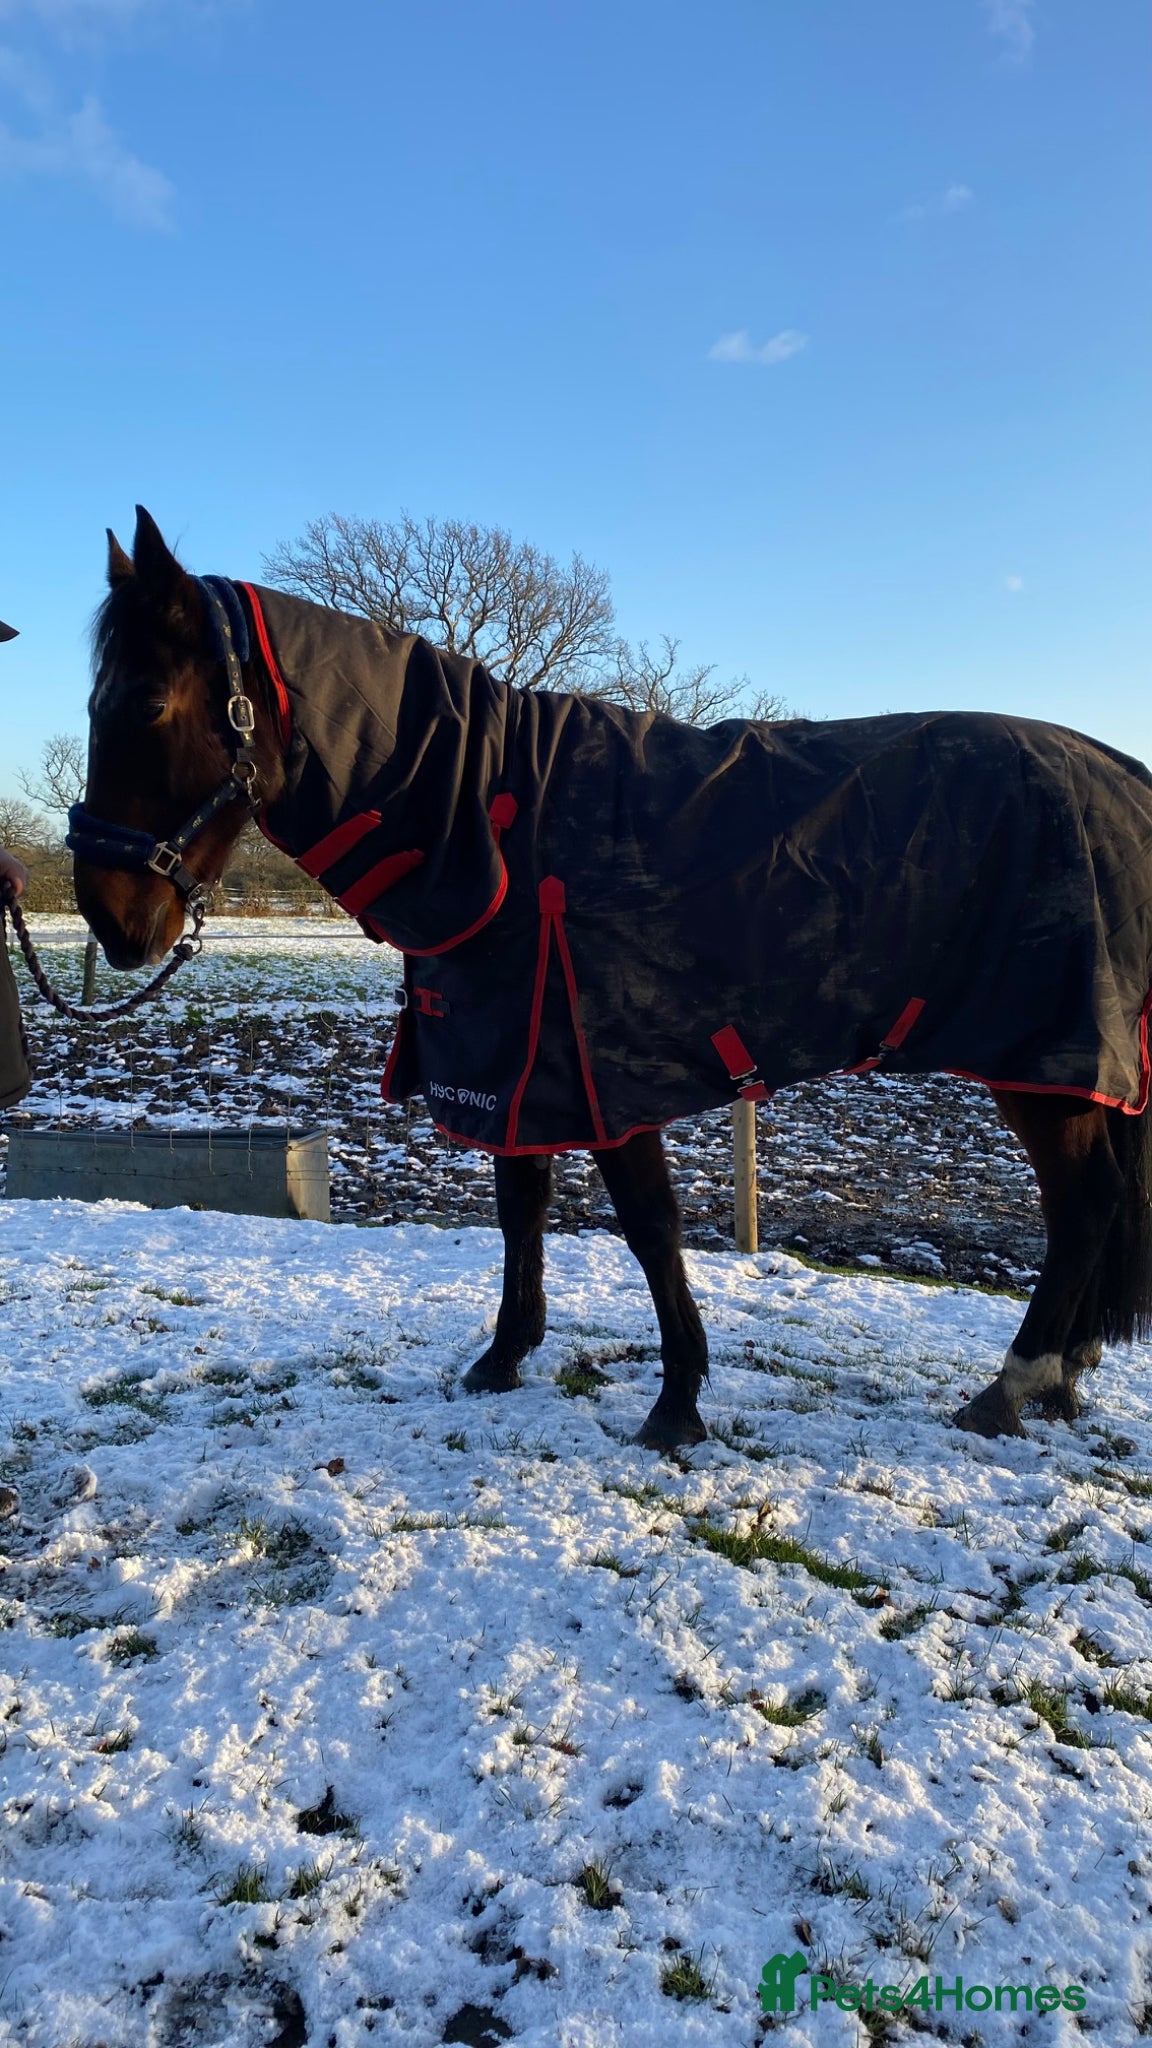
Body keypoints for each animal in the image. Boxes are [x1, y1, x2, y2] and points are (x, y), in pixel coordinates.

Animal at [70, 507, 1152, 1452]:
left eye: (148, 704)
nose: (111, 919)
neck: (495, 819)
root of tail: (1120, 775)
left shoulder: (602, 1067)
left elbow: (647, 1226)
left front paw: (676, 1403)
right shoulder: (511, 1060)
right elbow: (521, 1202)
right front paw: (505, 1357)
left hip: (1047, 1062)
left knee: (1085, 1203)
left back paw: (1012, 1387)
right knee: (1095, 1206)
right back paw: (1061, 1379)